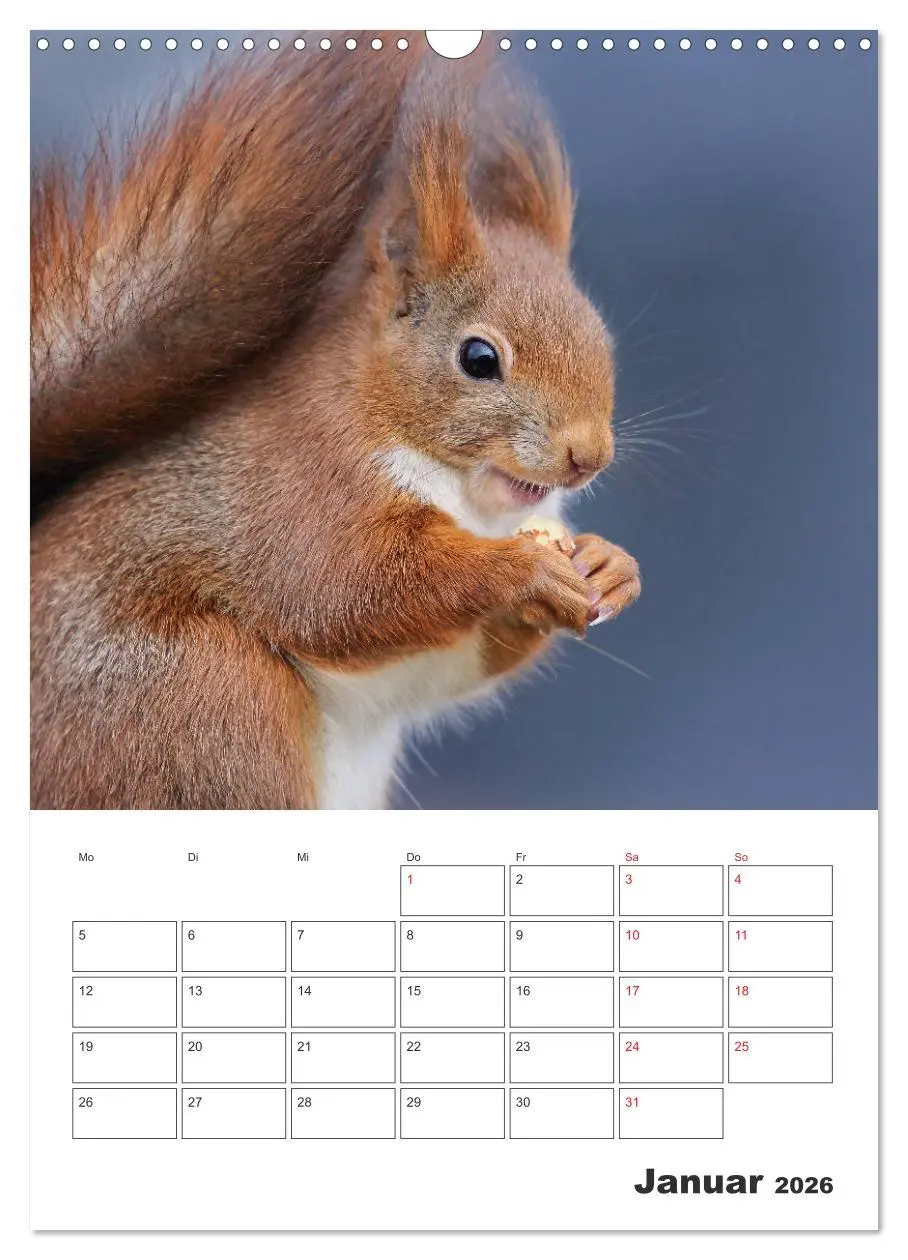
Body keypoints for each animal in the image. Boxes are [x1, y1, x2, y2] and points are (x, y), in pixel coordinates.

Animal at [30, 35, 642, 809]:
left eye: (602, 339)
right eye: (479, 358)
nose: (587, 456)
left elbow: (467, 658)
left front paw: (610, 566)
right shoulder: (305, 486)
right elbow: (344, 587)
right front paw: (524, 570)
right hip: (200, 698)